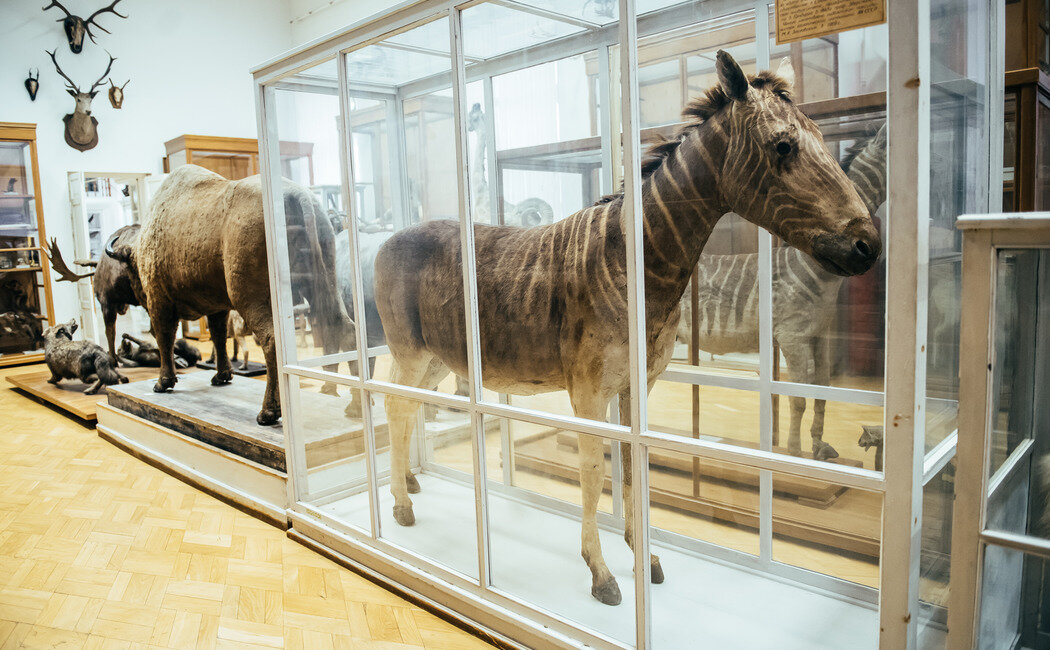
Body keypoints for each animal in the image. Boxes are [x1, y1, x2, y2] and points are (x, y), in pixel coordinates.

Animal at [109, 164, 350, 424]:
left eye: (131, 267)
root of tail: (299, 195)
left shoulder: (159, 303)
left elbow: (165, 338)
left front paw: (163, 383)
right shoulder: (218, 308)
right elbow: (218, 336)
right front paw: (222, 376)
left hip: (248, 298)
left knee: (271, 340)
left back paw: (268, 412)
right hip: (323, 285)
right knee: (342, 327)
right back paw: (343, 401)